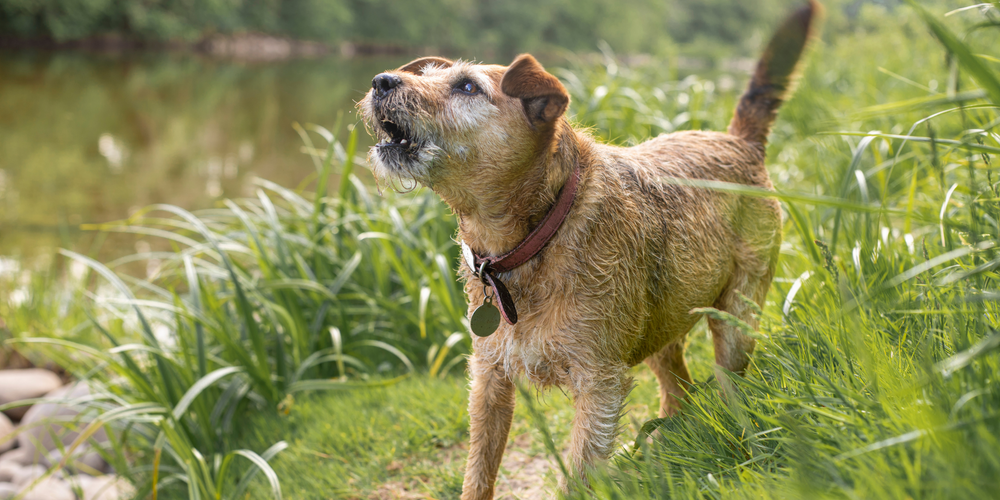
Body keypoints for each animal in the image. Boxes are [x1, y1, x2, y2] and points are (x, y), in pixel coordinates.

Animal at [360, 1, 820, 498]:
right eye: (425, 74)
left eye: (467, 87)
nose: (381, 81)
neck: (532, 237)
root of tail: (739, 140)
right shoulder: (489, 379)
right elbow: (478, 473)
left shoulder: (598, 386)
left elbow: (579, 474)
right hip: (658, 325)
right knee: (677, 388)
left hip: (736, 318)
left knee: (727, 379)